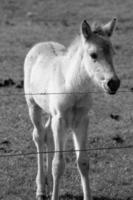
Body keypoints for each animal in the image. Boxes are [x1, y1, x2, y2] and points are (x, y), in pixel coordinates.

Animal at [24, 18, 120, 200]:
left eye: (113, 52)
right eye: (93, 55)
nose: (113, 83)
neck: (73, 86)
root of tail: (41, 44)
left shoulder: (82, 120)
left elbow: (83, 162)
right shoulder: (60, 120)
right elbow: (58, 164)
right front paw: (53, 195)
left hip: (51, 114)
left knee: (47, 136)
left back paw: (47, 185)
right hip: (33, 106)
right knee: (39, 136)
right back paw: (41, 189)